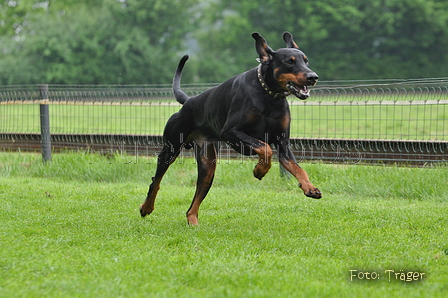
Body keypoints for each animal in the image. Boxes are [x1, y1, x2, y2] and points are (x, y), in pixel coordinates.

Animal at [140, 31, 322, 225]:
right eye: (289, 61)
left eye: (306, 61)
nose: (313, 77)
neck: (268, 95)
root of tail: (188, 101)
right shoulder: (231, 132)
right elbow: (265, 148)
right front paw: (259, 170)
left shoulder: (283, 143)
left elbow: (297, 168)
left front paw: (310, 188)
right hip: (170, 149)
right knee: (156, 181)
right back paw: (146, 208)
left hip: (208, 165)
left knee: (196, 196)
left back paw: (193, 221)